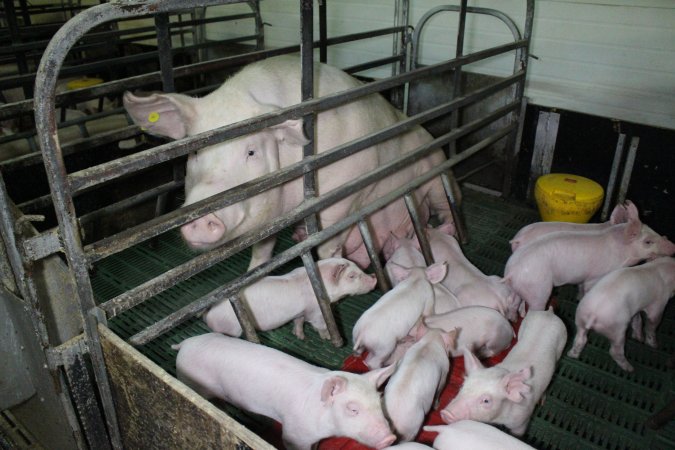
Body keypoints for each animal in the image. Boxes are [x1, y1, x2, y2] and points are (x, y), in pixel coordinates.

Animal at [123, 54, 460, 268]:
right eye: (195, 153)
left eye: (251, 151)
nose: (201, 219)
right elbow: (262, 251)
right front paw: (254, 272)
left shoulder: (348, 185)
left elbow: (325, 244)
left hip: (437, 171)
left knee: (447, 205)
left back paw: (451, 233)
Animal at [174, 334, 398, 450]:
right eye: (352, 409)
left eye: (380, 402)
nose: (390, 439)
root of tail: (186, 343)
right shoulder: (294, 434)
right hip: (191, 382)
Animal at [203, 256, 378, 338]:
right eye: (351, 276)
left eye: (357, 266)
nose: (374, 277)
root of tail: (209, 315)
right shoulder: (316, 311)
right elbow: (320, 325)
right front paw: (328, 337)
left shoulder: (300, 312)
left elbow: (298, 322)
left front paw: (300, 337)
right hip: (231, 329)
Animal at [440, 310, 568, 436]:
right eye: (462, 387)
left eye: (486, 400)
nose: (446, 412)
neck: (500, 418)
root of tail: (549, 313)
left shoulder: (522, 420)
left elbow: (518, 433)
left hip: (562, 343)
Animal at [504, 204, 672, 312]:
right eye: (648, 242)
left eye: (653, 229)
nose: (672, 245)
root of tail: (518, 237)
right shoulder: (596, 276)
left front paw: (578, 297)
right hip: (538, 287)